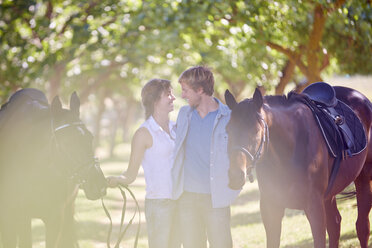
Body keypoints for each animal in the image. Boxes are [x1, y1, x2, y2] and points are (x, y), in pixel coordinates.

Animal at [224, 86, 372, 248]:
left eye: (256, 131)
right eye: (228, 130)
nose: (235, 175)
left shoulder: (314, 207)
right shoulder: (270, 209)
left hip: (364, 178)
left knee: (362, 227)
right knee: (335, 225)